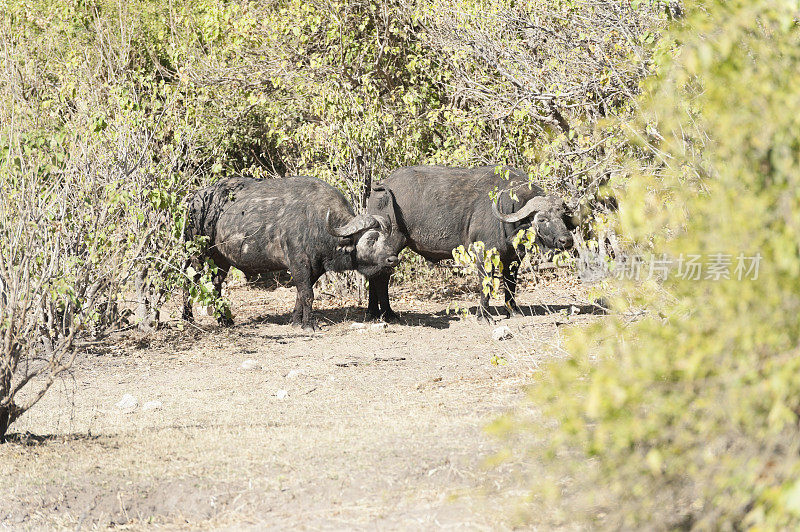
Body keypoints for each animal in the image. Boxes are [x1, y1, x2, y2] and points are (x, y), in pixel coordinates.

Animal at [183, 177, 398, 330]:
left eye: (386, 238)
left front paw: (296, 321)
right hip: (196, 253)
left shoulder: (315, 268)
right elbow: (308, 294)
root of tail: (195, 199)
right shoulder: (297, 263)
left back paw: (224, 319)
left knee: (216, 284)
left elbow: (300, 295)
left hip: (221, 259)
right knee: (189, 281)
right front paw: (309, 325)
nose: (393, 259)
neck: (315, 222)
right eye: (370, 239)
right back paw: (187, 317)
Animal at [368, 165, 576, 320]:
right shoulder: (483, 253)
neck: (507, 208)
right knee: (382, 277)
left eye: (561, 215)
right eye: (542, 219)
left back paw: (373, 312)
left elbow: (511, 283)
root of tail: (382, 186)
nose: (566, 240)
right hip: (392, 245)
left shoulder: (514, 257)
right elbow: (487, 283)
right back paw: (388, 313)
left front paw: (513, 310)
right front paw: (484, 315)